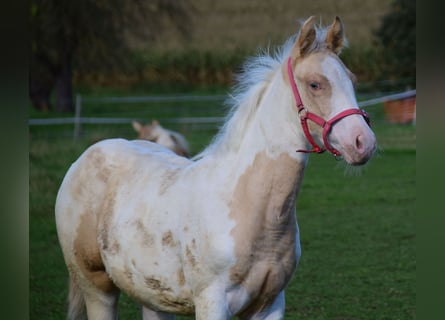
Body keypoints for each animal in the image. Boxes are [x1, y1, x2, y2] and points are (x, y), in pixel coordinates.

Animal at [54, 16, 374, 318]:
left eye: (352, 80)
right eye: (315, 84)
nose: (363, 142)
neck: (250, 207)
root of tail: (85, 157)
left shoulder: (270, 304)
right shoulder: (212, 303)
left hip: (152, 294)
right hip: (97, 286)